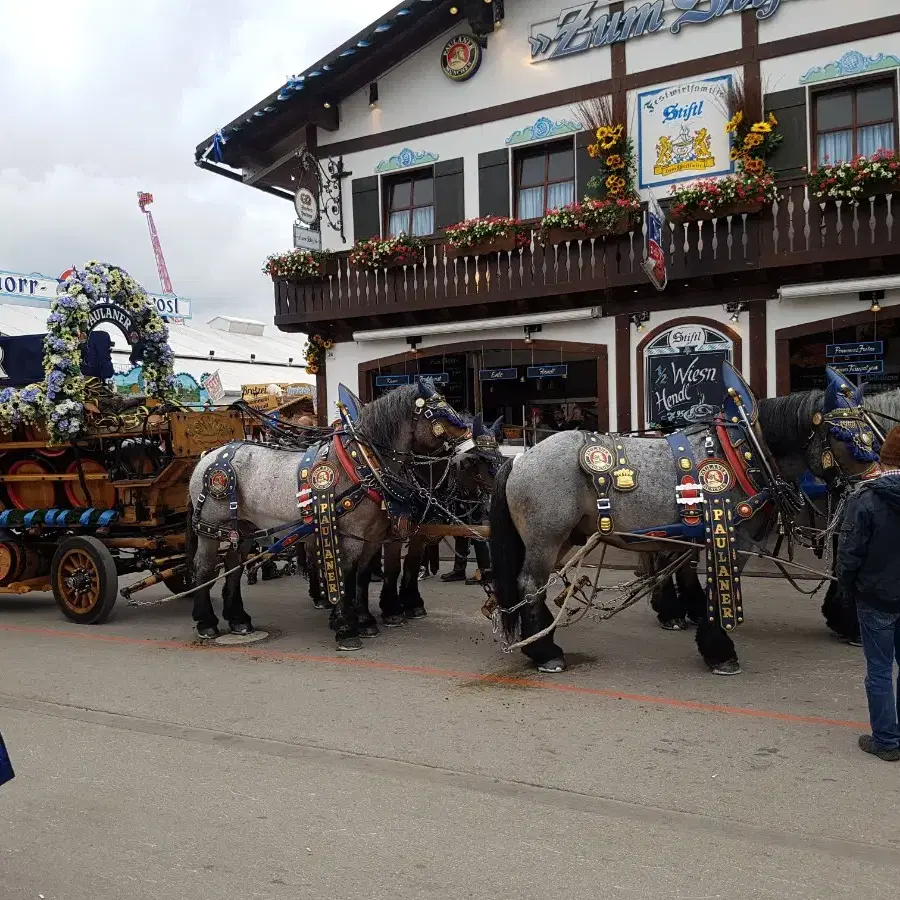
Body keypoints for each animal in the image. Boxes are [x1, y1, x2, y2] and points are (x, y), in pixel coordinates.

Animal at [187, 384, 474, 652]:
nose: (472, 448)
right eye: (439, 413)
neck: (362, 463)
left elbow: (363, 577)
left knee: (233, 567)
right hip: (211, 529)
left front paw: (365, 621)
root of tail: (209, 456)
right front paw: (347, 630)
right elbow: (347, 576)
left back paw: (239, 619)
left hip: (242, 530)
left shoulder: (372, 538)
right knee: (204, 567)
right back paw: (206, 622)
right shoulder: (350, 537)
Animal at [492, 384, 880, 676]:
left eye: (872, 436)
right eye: (844, 436)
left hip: (558, 539)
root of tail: (520, 458)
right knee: (531, 585)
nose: (876, 486)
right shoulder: (733, 539)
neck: (747, 452)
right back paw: (546, 652)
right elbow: (717, 590)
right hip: (546, 537)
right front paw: (720, 652)